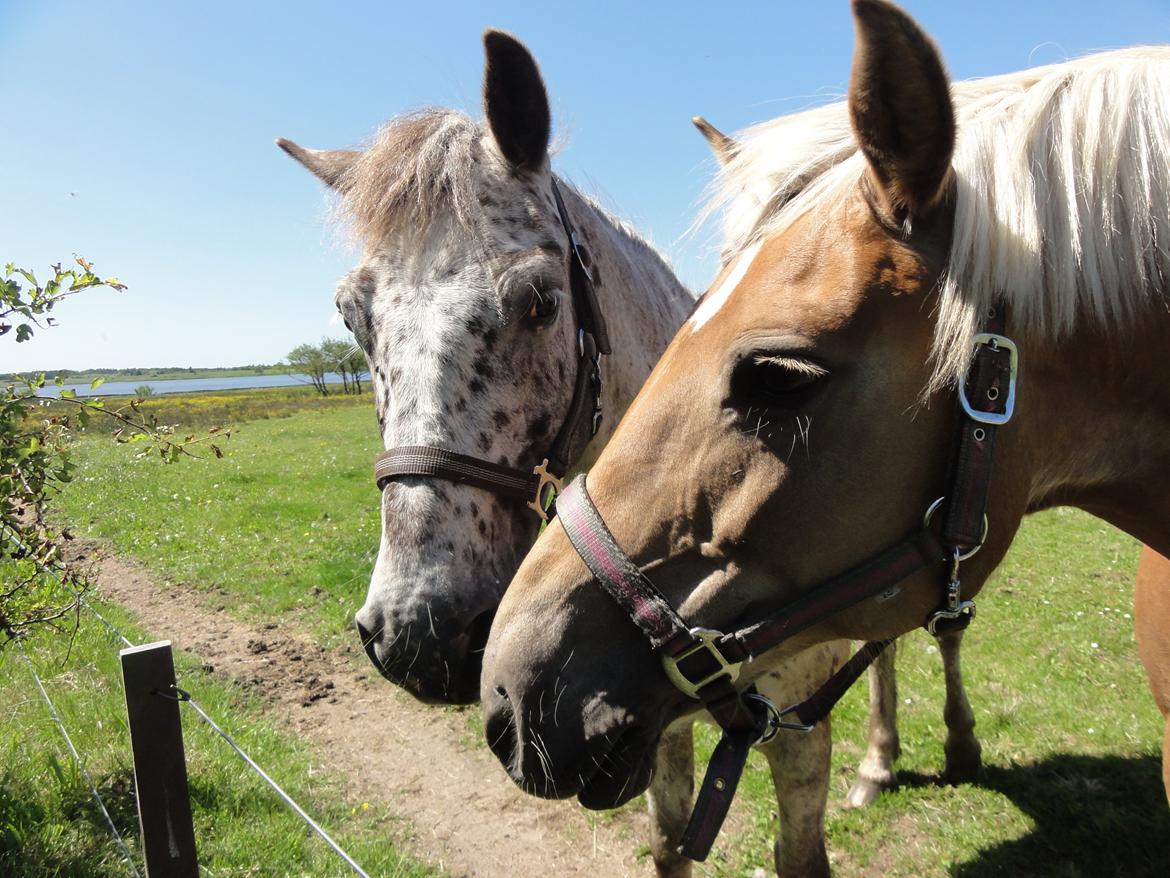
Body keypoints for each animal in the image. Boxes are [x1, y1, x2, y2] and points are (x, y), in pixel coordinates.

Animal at [273, 31, 842, 875]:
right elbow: (669, 841)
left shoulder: (800, 736)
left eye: (539, 301)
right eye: (350, 316)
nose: (417, 636)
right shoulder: (658, 735)